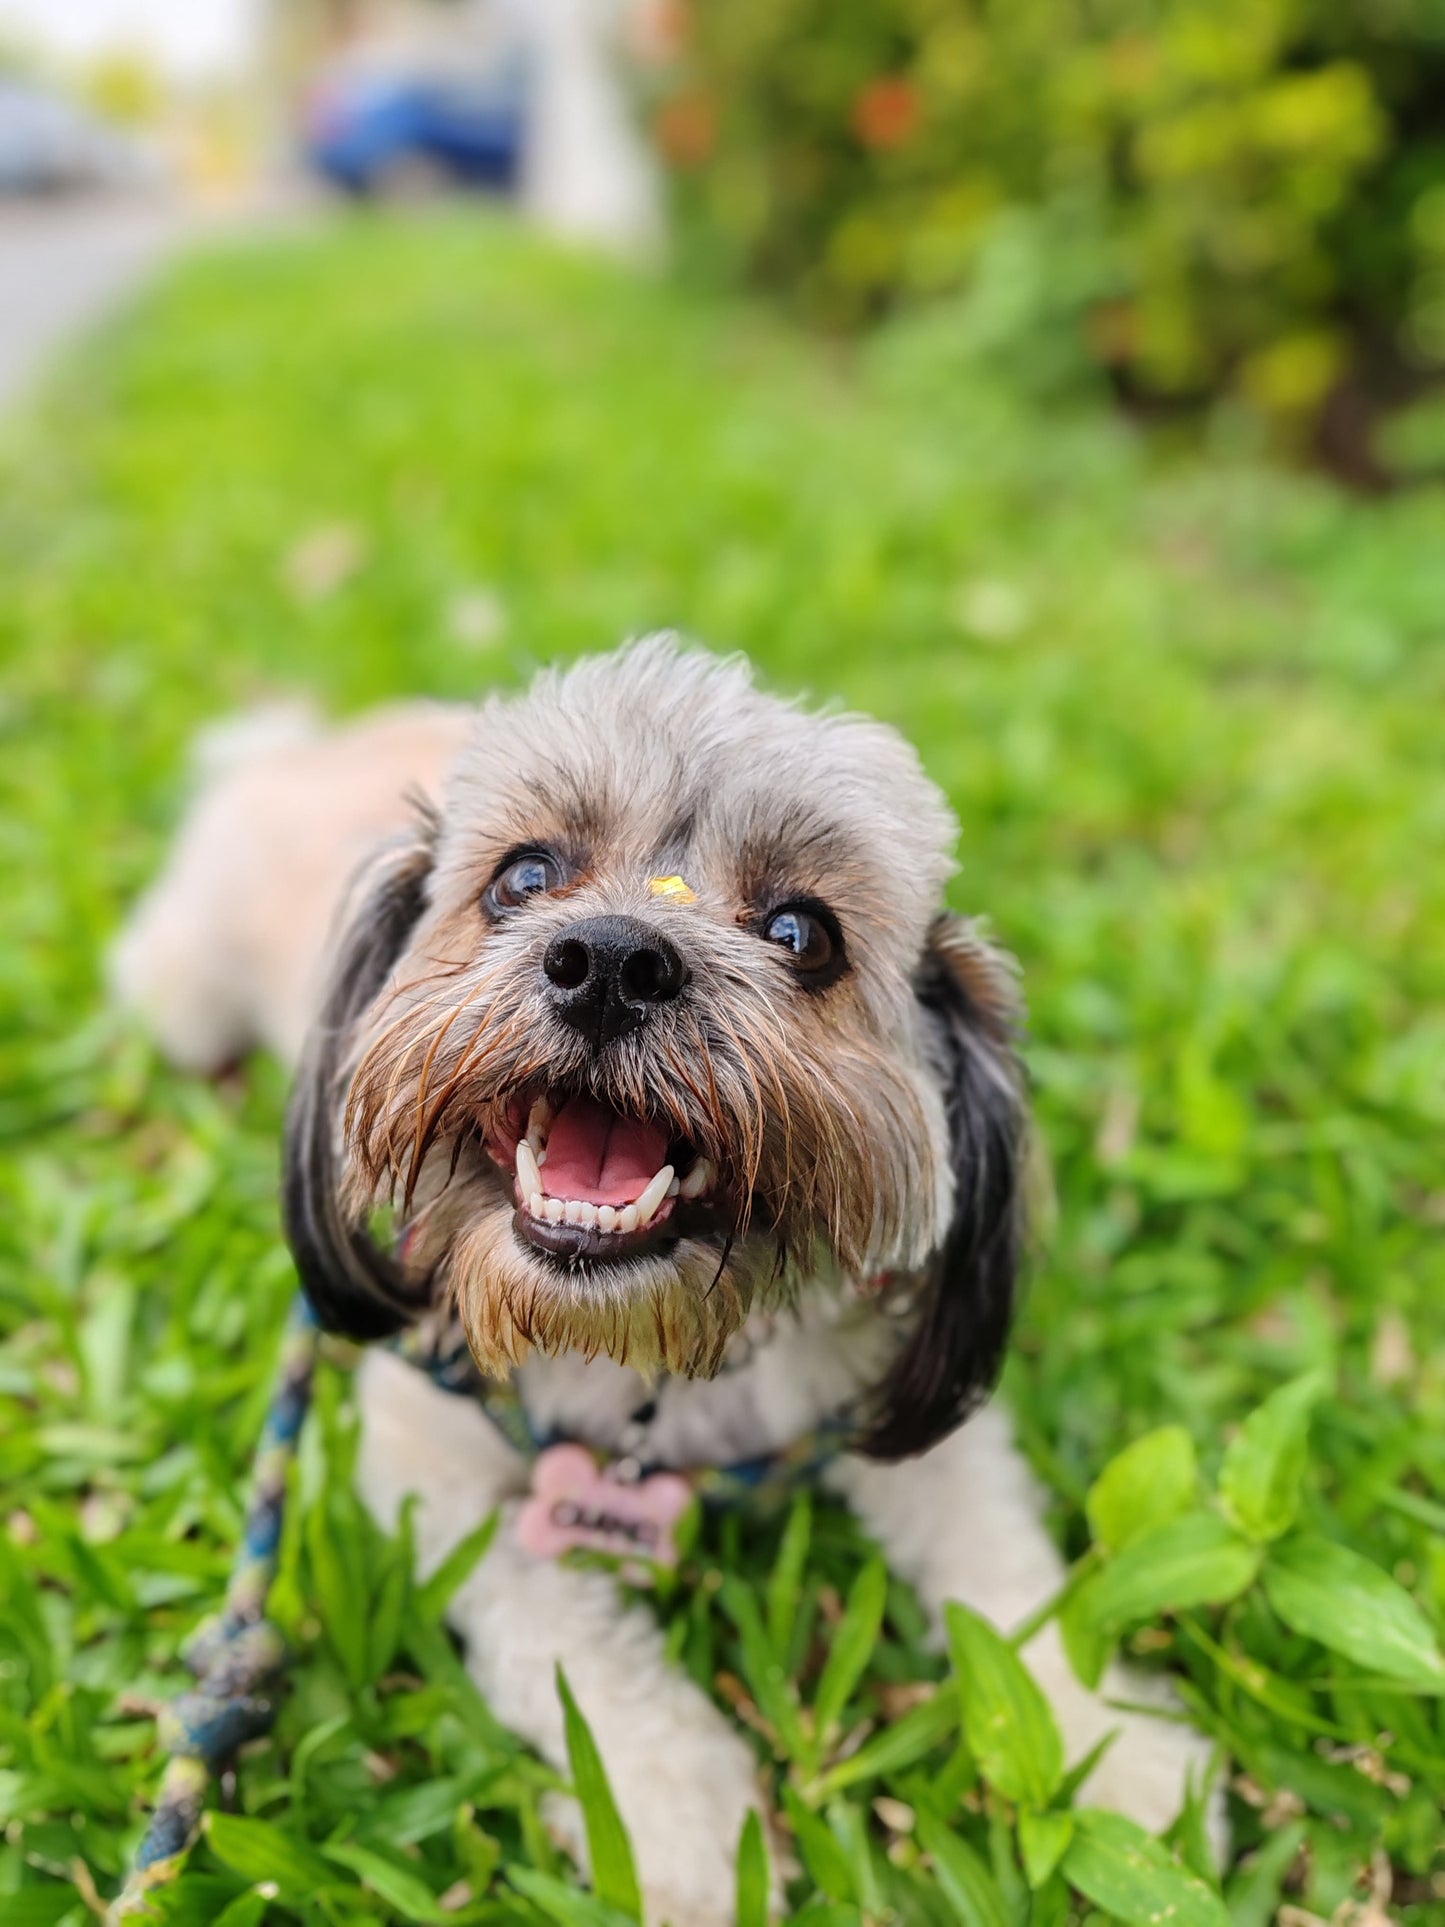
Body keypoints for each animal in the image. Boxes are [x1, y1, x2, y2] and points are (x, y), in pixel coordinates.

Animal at [116, 639, 1225, 1919]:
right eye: (523, 875)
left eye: (800, 934)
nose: (609, 960)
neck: (649, 1354)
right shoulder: (425, 1466)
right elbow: (568, 1637)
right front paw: (677, 1824)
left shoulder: (907, 1407)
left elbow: (1011, 1574)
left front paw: (1107, 1745)